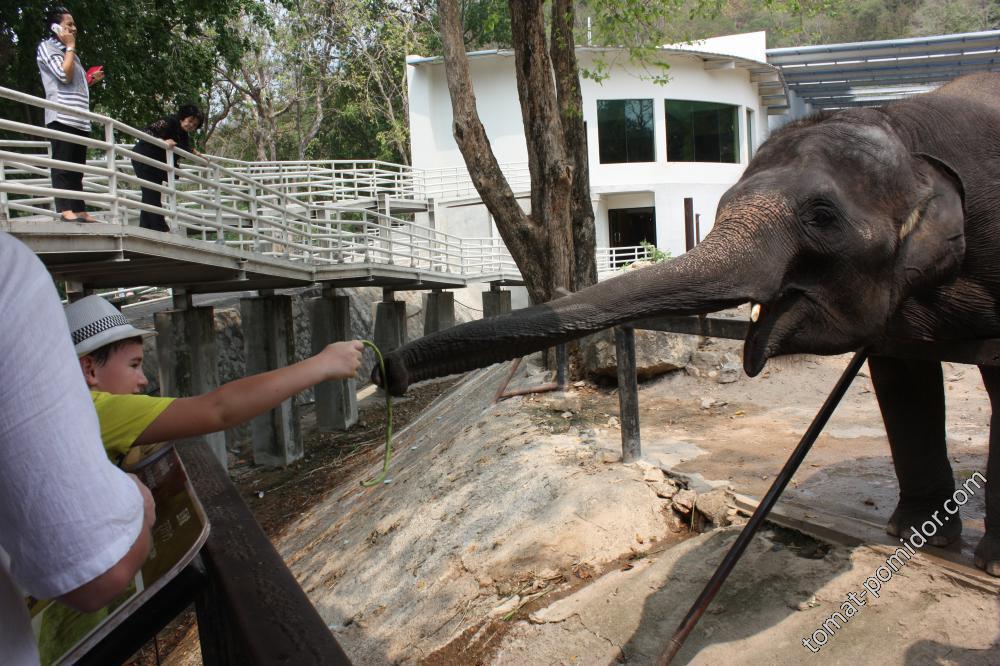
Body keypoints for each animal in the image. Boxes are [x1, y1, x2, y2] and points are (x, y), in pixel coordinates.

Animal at [374, 70, 1000, 572]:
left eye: (823, 216)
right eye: (719, 206)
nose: (387, 370)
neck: (904, 126)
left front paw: (985, 563)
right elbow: (901, 377)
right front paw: (917, 536)